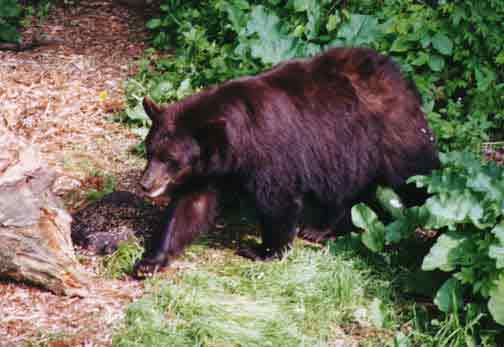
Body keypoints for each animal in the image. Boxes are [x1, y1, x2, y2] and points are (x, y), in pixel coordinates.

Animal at [133, 47, 438, 278]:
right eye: (150, 151)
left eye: (171, 159)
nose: (145, 184)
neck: (235, 145)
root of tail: (400, 78)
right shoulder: (209, 171)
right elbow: (190, 207)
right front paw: (150, 261)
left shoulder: (269, 156)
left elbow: (278, 201)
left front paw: (264, 250)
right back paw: (319, 228)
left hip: (392, 139)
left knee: (416, 177)